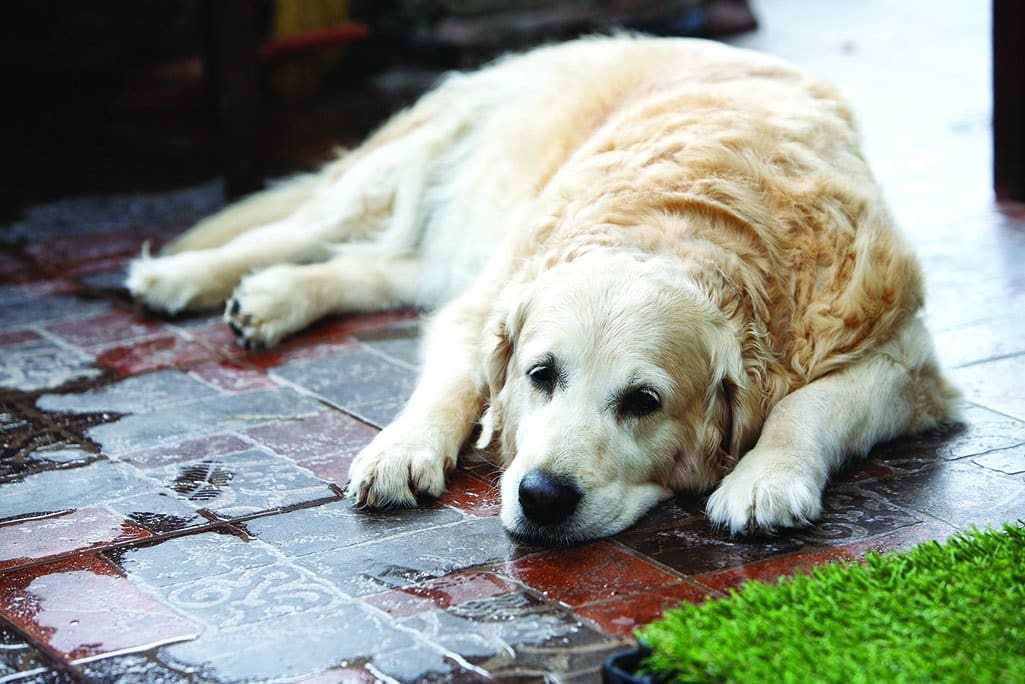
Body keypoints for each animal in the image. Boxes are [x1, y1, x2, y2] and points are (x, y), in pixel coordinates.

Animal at [130, 37, 959, 541]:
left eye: (643, 402)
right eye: (540, 375)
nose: (542, 497)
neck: (685, 225)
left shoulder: (904, 360)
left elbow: (805, 406)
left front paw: (765, 479)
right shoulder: (488, 303)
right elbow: (454, 382)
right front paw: (403, 448)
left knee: (371, 267)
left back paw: (271, 300)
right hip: (403, 172)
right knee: (295, 227)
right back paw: (182, 275)